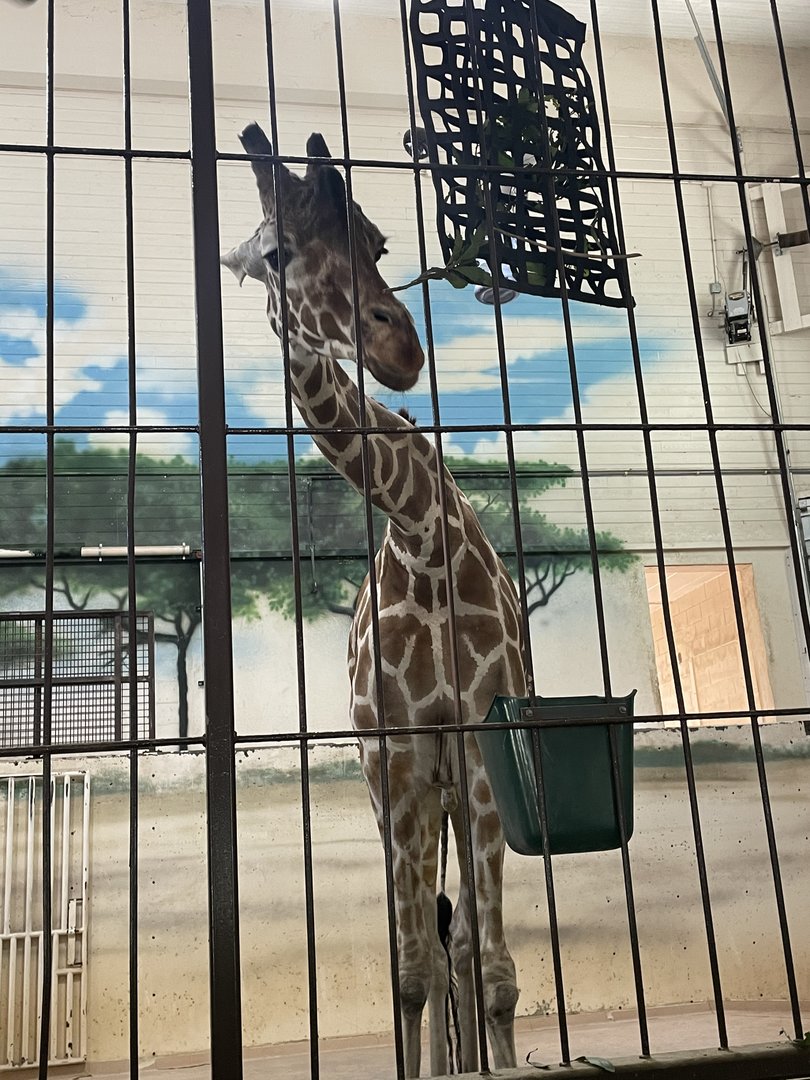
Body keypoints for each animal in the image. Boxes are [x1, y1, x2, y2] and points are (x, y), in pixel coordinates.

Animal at [222, 123, 527, 1078]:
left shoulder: (478, 751)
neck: (419, 527)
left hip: (452, 788)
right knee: (429, 942)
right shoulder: (392, 764)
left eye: (379, 241)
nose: (400, 350)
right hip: (401, 789)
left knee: (459, 941)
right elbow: (408, 971)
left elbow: (492, 971)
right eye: (277, 254)